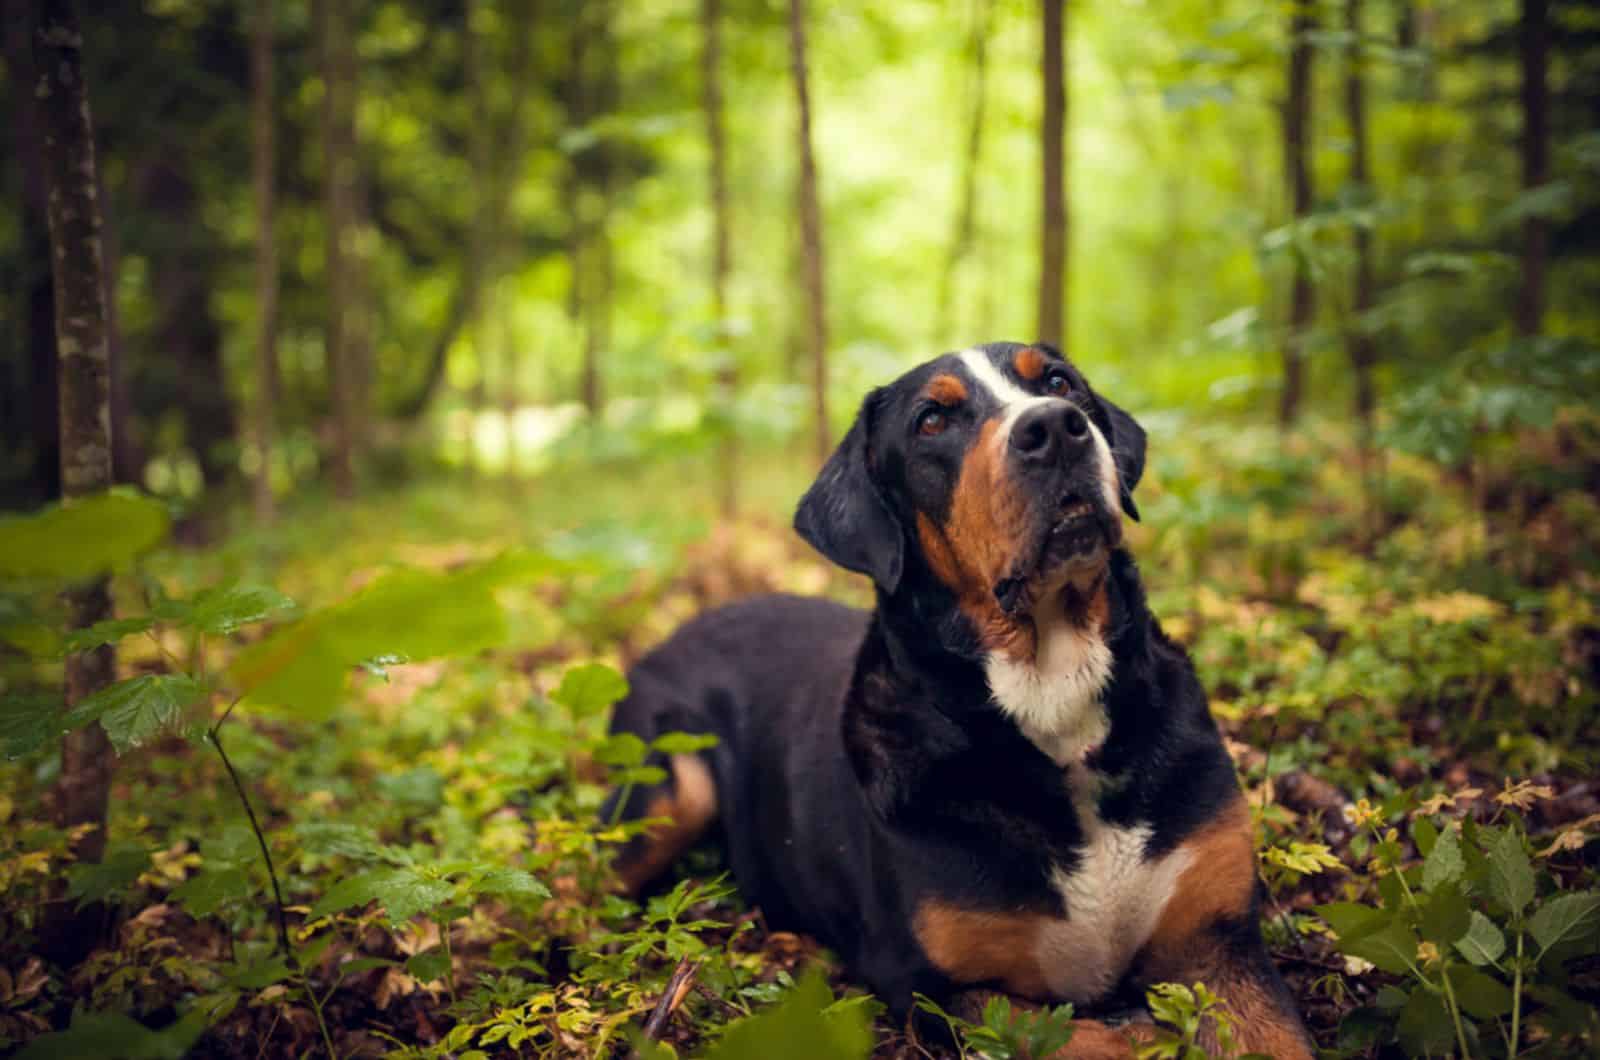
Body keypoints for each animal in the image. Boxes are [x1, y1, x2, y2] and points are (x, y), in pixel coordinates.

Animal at [601, 344, 1312, 1056]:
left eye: (1059, 383)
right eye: (932, 421)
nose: (1055, 428)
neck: (1054, 696)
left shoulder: (1217, 942)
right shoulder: (928, 985)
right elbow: (1070, 1037)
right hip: (670, 786)